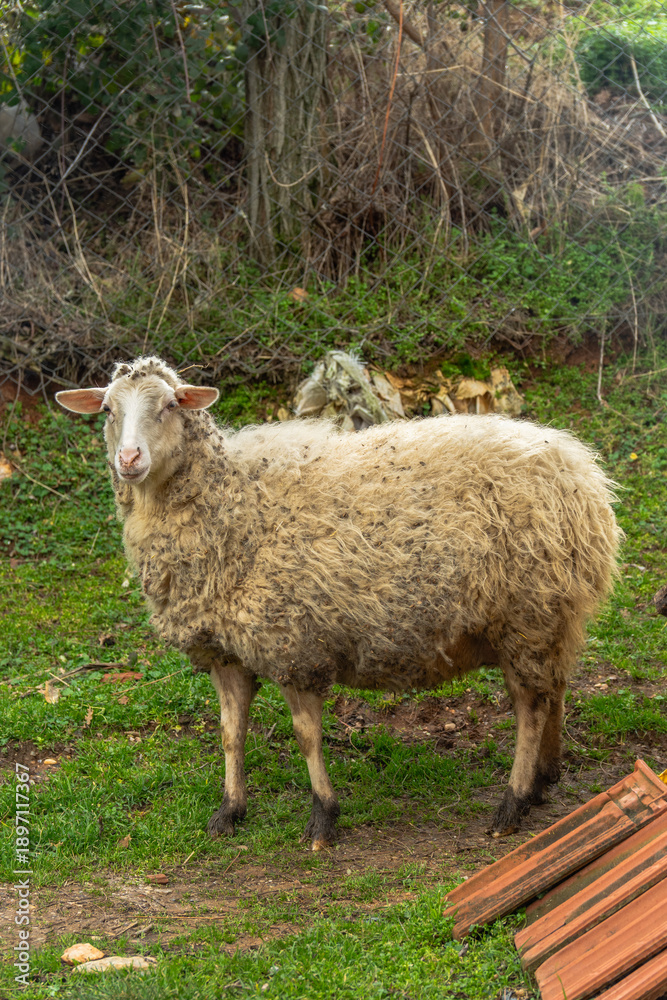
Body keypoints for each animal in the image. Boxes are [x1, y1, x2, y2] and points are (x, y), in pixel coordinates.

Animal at [57, 356, 621, 849]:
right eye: (107, 409)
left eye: (172, 404)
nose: (129, 460)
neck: (230, 504)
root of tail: (583, 475)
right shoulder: (224, 650)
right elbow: (230, 733)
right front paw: (229, 811)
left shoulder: (293, 643)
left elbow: (307, 736)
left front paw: (323, 818)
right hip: (551, 614)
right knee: (555, 690)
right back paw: (545, 777)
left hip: (526, 612)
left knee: (530, 707)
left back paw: (513, 802)